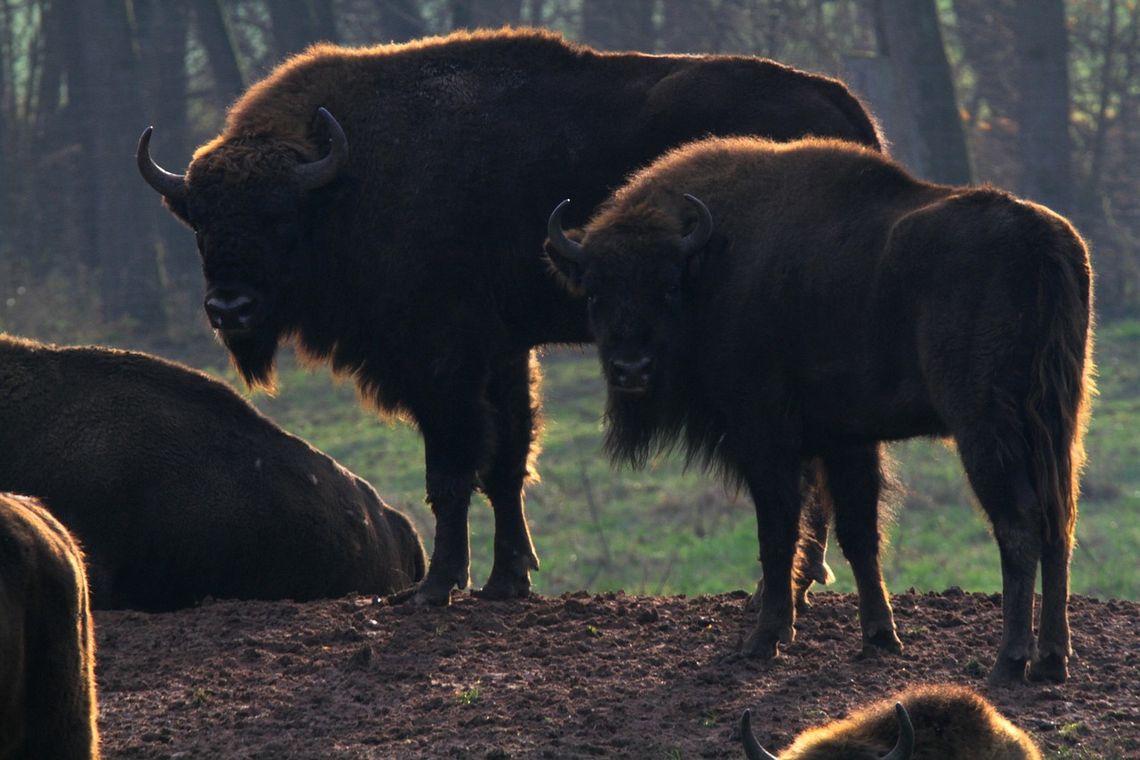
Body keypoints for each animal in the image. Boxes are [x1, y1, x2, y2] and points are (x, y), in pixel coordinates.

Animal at [135, 26, 880, 606]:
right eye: (201, 222)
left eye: (279, 216)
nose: (229, 306)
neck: (348, 179)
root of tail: (844, 107)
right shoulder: (502, 352)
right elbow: (506, 462)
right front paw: (506, 580)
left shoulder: (444, 360)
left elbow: (453, 468)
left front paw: (436, 587)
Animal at [544, 133, 1094, 688]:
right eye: (595, 293)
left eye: (667, 287)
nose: (631, 370)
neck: (714, 262)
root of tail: (1041, 240)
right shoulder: (845, 440)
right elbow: (859, 533)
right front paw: (880, 636)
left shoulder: (765, 435)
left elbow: (779, 531)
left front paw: (764, 639)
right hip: (1057, 425)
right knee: (1058, 522)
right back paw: (1052, 660)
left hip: (986, 428)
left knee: (1019, 522)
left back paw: (1010, 661)